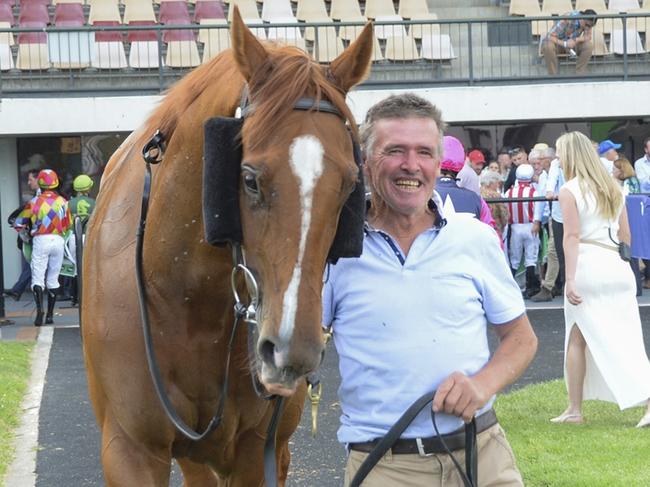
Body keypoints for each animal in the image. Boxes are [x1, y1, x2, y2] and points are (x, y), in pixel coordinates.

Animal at [81, 10, 374, 487]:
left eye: (351, 186)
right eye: (250, 179)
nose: (291, 350)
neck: (185, 294)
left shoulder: (255, 448)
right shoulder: (129, 449)